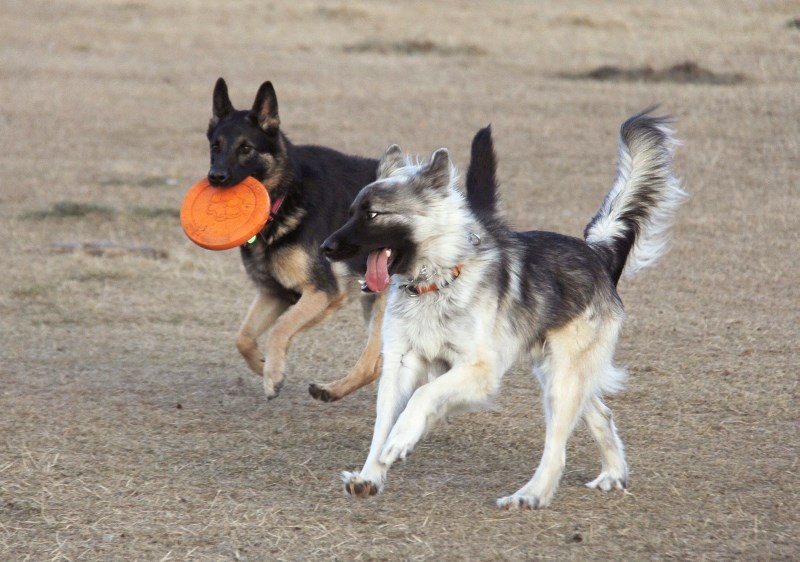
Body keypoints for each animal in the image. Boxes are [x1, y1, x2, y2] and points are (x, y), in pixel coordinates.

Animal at [322, 110, 684, 508]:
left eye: (372, 215)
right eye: (351, 212)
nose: (325, 248)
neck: (436, 282)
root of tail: (597, 252)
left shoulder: (479, 370)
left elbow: (422, 396)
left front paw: (400, 440)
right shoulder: (400, 364)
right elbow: (384, 422)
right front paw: (371, 475)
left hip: (562, 380)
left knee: (556, 449)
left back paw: (531, 495)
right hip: (558, 373)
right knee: (601, 413)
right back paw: (613, 473)